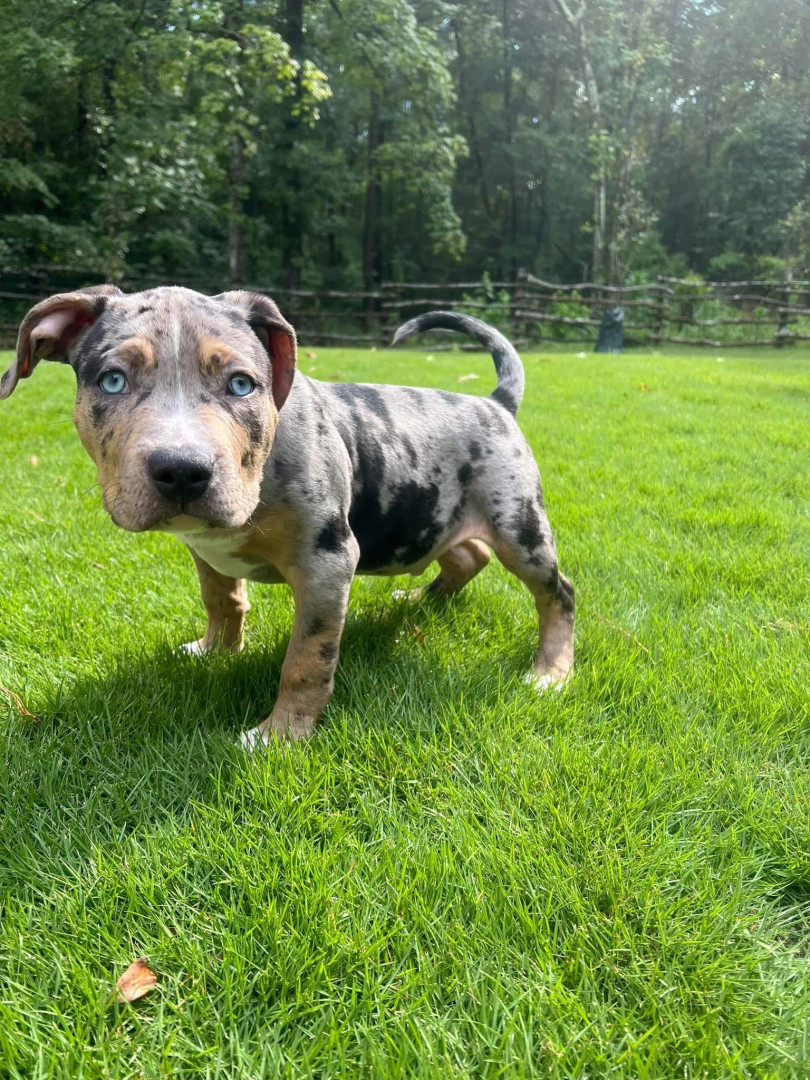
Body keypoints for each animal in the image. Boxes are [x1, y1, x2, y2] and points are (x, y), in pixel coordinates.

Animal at [1, 287, 574, 746]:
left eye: (241, 385)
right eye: (113, 381)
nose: (182, 471)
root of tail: (495, 403)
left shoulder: (327, 564)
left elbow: (306, 658)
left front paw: (280, 735)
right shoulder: (206, 548)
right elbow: (222, 599)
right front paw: (215, 650)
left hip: (519, 525)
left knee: (558, 593)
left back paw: (551, 671)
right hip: (440, 515)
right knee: (467, 553)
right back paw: (418, 598)